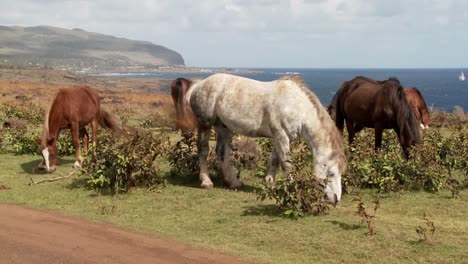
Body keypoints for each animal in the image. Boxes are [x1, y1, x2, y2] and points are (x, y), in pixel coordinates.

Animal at [170, 73, 346, 205]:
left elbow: (275, 160)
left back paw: (233, 182)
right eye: (331, 173)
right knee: (204, 150)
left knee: (222, 152)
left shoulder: (281, 136)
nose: (336, 199)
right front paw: (293, 189)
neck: (296, 105)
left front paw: (270, 184)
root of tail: (198, 85)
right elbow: (287, 164)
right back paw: (206, 182)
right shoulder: (281, 135)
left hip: (223, 127)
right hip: (205, 124)